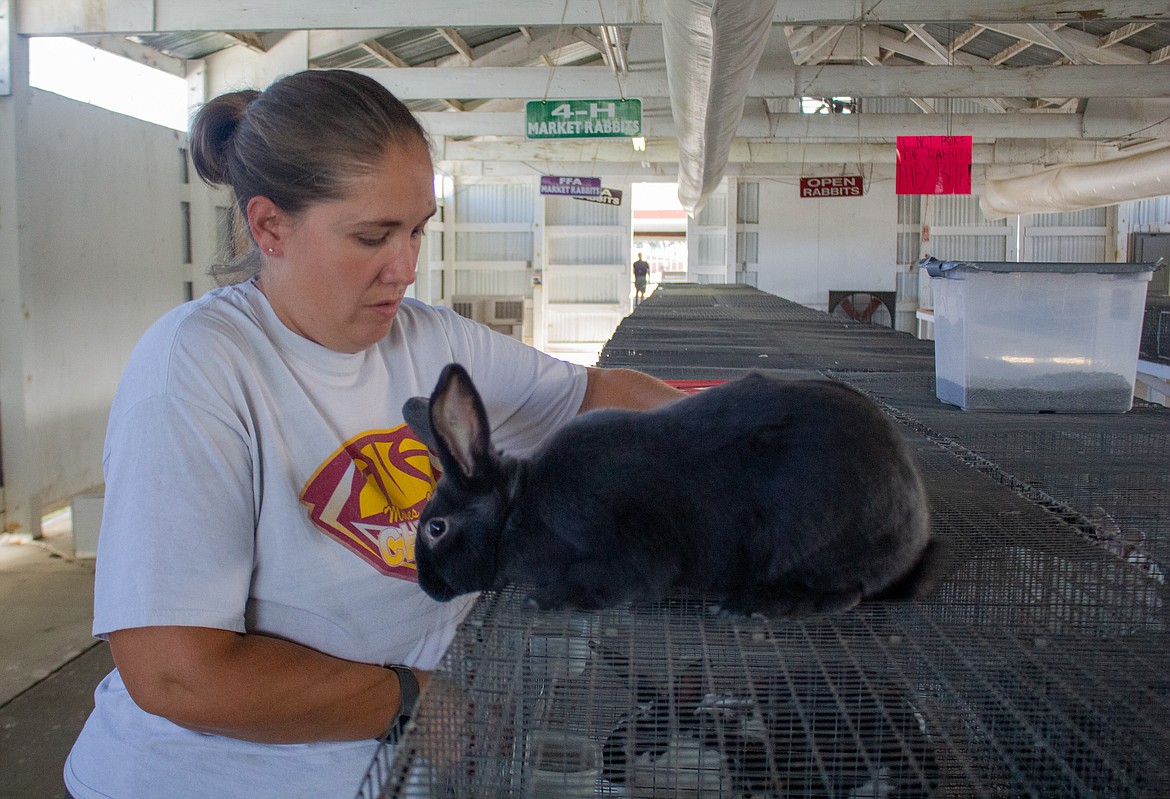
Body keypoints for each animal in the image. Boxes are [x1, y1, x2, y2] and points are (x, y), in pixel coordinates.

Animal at [402, 364, 940, 617]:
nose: (426, 586)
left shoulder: (624, 551)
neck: (519, 509)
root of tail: (917, 527)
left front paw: (548, 599)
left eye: (436, 528)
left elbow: (609, 583)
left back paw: (752, 607)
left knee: (846, 593)